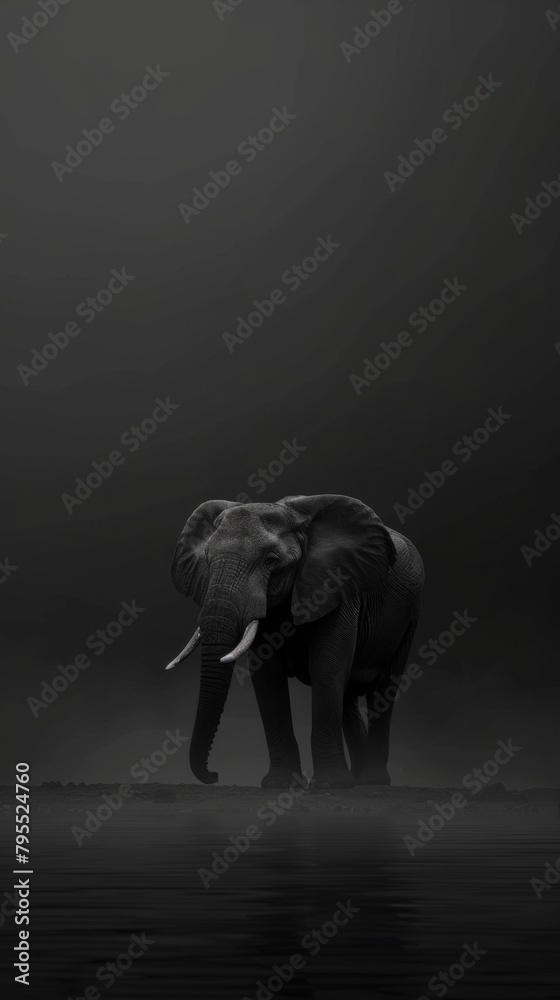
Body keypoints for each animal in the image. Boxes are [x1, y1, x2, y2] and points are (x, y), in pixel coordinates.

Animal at [166, 494, 424, 789]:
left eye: (271, 561)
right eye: (207, 558)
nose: (214, 776)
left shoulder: (337, 586)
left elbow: (326, 668)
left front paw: (330, 785)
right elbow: (266, 676)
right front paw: (280, 784)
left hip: (409, 617)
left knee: (384, 688)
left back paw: (372, 781)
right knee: (347, 694)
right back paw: (356, 780)